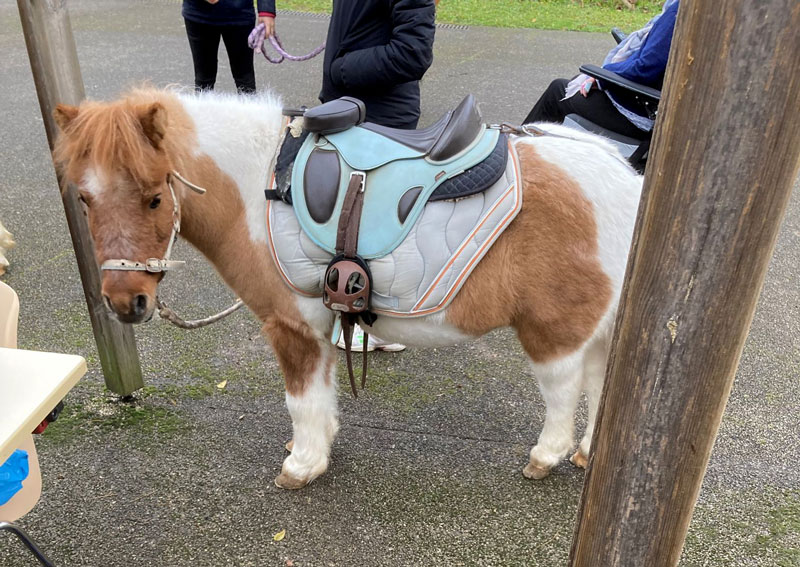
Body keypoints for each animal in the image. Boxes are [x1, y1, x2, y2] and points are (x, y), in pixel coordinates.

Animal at [53, 89, 640, 488]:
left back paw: (548, 456)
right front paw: (316, 447)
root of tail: (625, 177)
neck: (260, 187)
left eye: (155, 197)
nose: (125, 302)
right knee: (600, 379)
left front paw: (302, 465)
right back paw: (588, 452)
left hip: (553, 327)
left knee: (565, 389)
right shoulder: (321, 324)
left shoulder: (291, 327)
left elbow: (301, 399)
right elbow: (320, 395)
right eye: (83, 197)